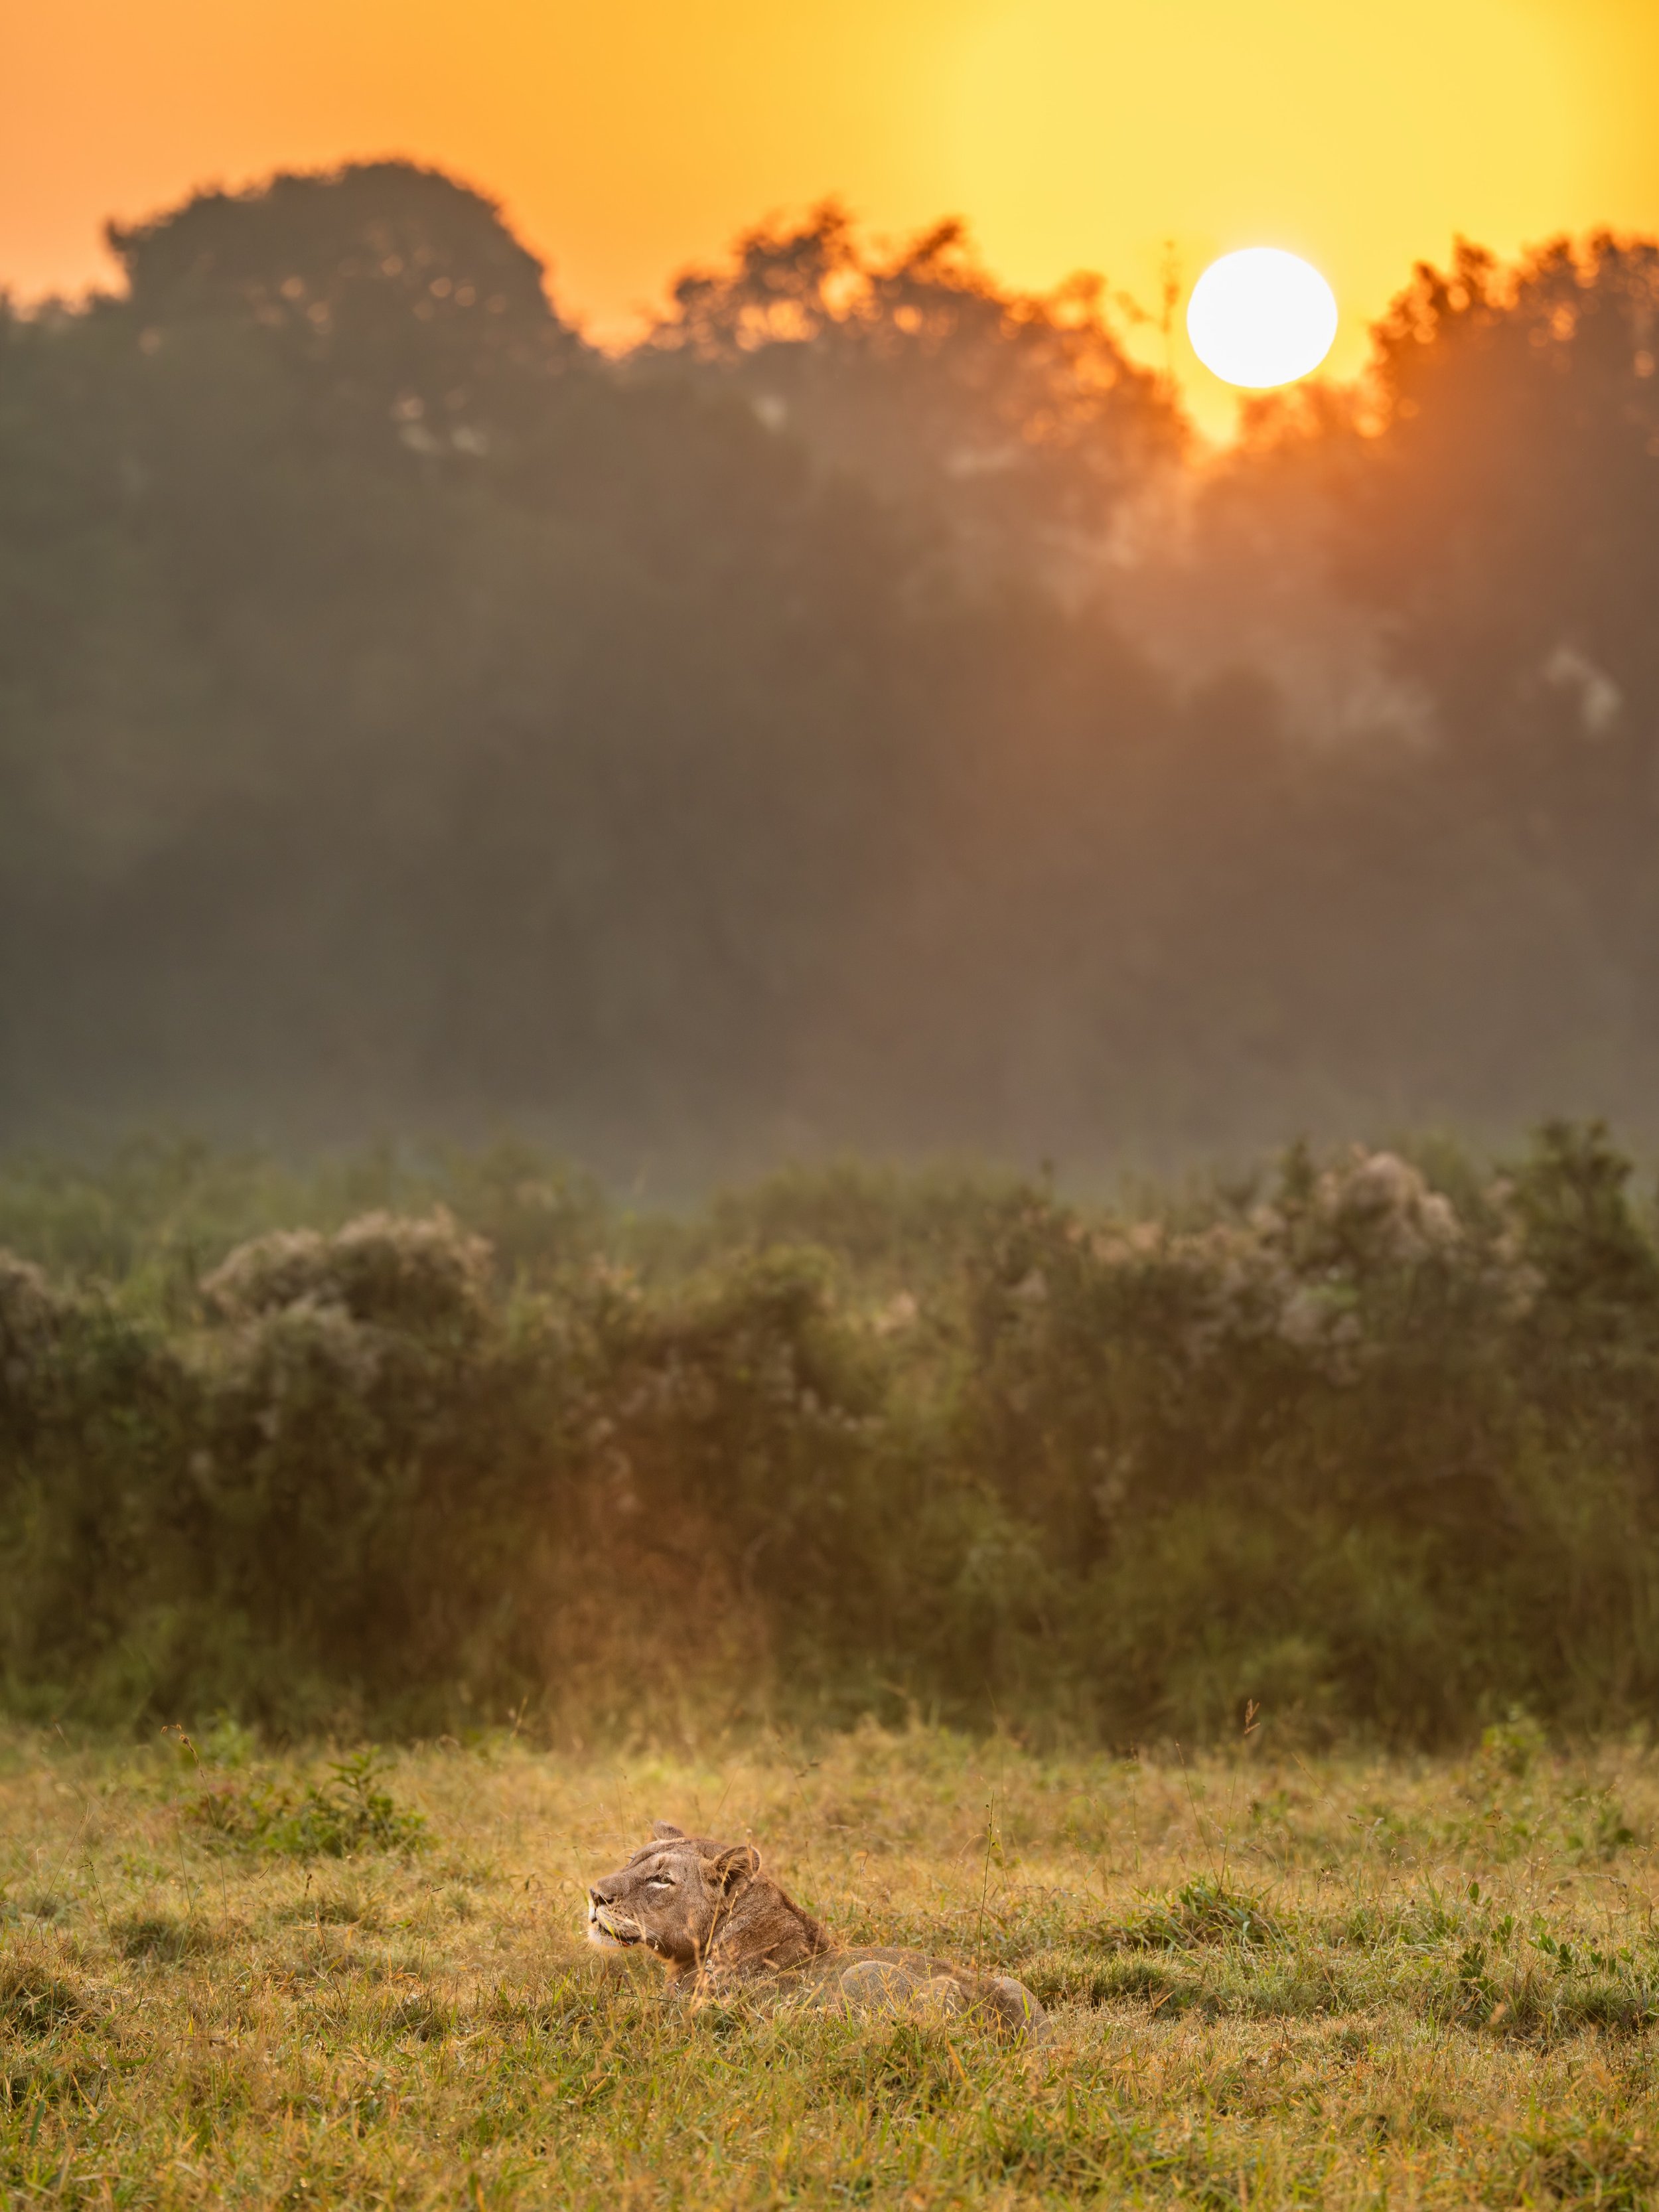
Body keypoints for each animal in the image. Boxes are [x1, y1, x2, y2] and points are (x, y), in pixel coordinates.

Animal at [585, 1822, 1048, 2039]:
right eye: (632, 1860)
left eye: (662, 1880)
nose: (594, 1895)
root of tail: (987, 2009)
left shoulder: (684, 2013)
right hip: (1014, 1986)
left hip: (870, 1973)